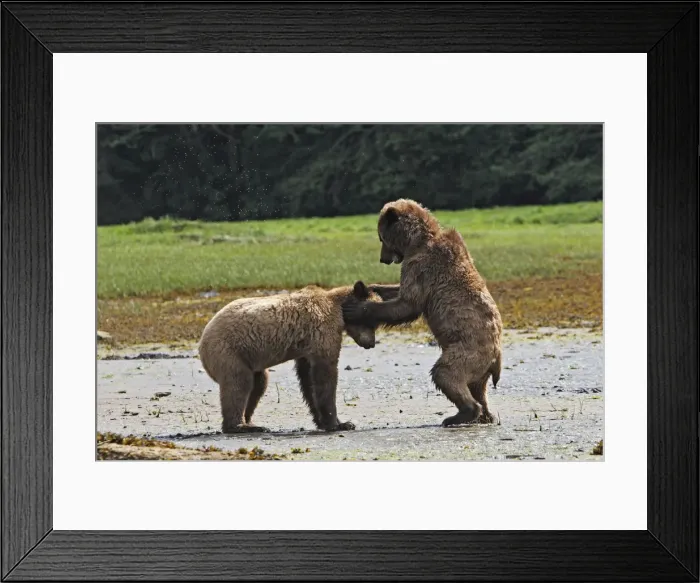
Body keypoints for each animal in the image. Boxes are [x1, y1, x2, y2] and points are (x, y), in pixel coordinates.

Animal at [198, 281, 382, 433]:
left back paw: (250, 422)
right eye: (371, 321)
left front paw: (324, 421)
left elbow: (308, 381)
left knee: (258, 384)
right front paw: (339, 424)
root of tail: (201, 343)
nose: (371, 343)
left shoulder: (306, 349)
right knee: (238, 384)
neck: (339, 310)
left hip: (249, 359)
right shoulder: (322, 332)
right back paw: (242, 426)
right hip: (230, 352)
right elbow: (325, 376)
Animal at [343, 199, 503, 427]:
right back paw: (486, 416)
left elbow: (407, 304)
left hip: (468, 351)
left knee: (446, 373)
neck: (416, 242)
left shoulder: (421, 268)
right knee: (478, 388)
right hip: (479, 368)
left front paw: (356, 308)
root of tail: (496, 359)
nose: (383, 259)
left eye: (381, 237)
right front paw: (371, 287)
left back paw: (460, 415)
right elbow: (397, 291)